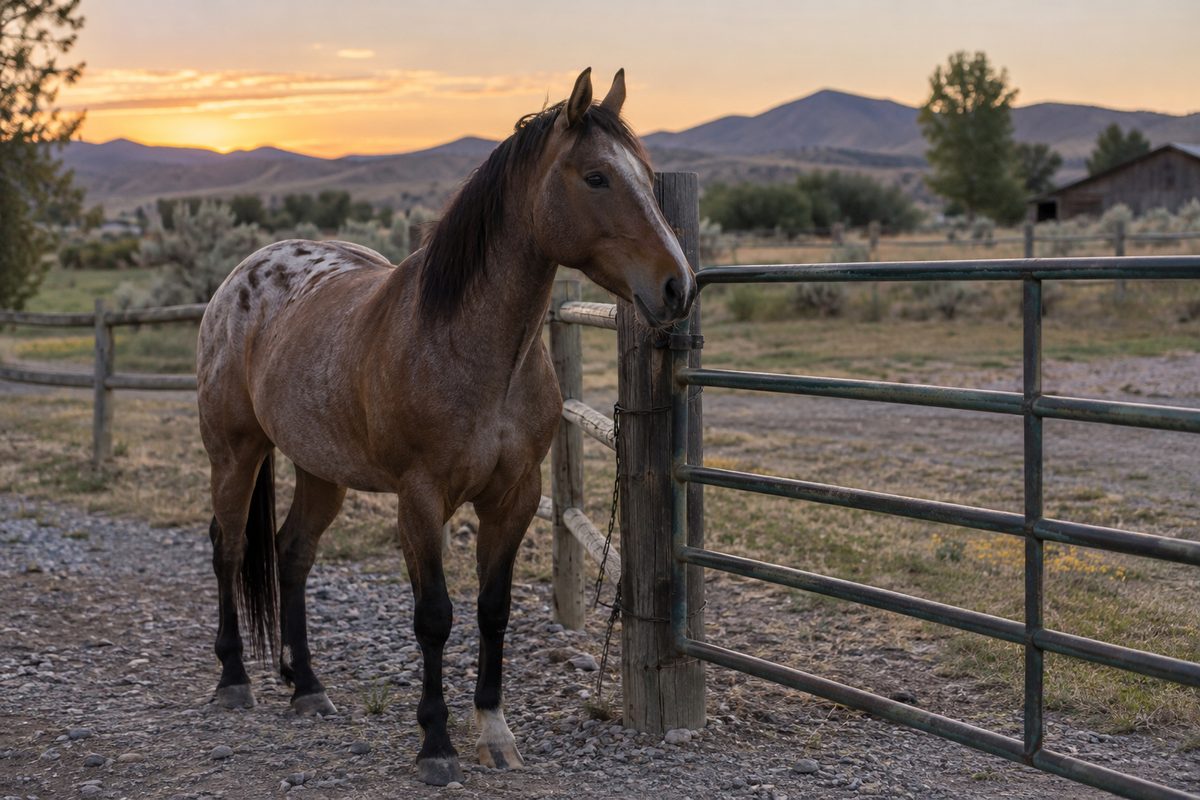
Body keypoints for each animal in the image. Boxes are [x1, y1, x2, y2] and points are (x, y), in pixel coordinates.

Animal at [195, 67, 696, 786]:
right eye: (597, 176)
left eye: (647, 174)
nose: (678, 286)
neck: (471, 347)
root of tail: (242, 275)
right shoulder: (421, 498)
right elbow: (433, 616)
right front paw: (435, 743)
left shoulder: (515, 497)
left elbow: (492, 611)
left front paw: (493, 731)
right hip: (235, 453)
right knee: (230, 549)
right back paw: (235, 679)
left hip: (319, 469)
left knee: (292, 554)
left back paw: (308, 687)